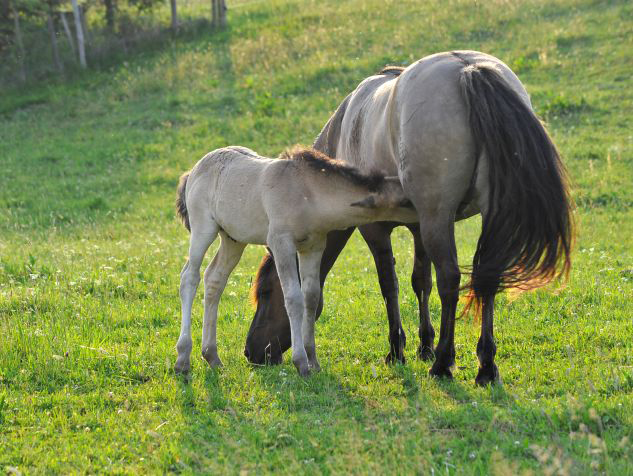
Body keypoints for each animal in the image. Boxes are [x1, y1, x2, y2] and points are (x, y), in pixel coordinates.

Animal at [175, 147, 418, 378]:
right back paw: (183, 359)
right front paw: (301, 363)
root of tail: (193, 170)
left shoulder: (313, 247)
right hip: (203, 229)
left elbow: (311, 297)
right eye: (405, 201)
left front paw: (313, 361)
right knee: (190, 277)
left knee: (214, 279)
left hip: (233, 240)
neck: (307, 194)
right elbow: (293, 298)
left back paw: (212, 356)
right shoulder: (281, 244)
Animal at [243, 50, 572, 384]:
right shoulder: (419, 226)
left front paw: (397, 351)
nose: (251, 351)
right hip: (473, 217)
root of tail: (468, 69)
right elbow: (420, 282)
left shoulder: (376, 230)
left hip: (438, 217)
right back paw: (486, 366)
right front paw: (424, 344)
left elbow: (390, 285)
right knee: (486, 278)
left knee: (450, 279)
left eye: (267, 292)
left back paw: (443, 363)